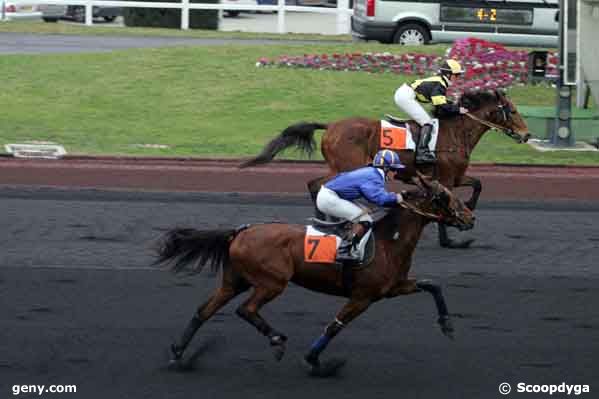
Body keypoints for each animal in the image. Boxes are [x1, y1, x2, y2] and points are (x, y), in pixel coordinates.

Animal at [157, 176, 476, 378]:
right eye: (443, 196)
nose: (470, 217)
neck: (389, 242)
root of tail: (240, 231)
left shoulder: (391, 288)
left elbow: (432, 285)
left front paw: (447, 325)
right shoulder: (363, 297)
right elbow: (334, 327)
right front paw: (316, 361)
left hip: (235, 281)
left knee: (204, 310)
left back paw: (178, 354)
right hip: (272, 282)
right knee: (245, 309)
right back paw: (276, 340)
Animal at [239, 91, 528, 247]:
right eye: (513, 111)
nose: (526, 135)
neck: (456, 133)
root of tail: (331, 126)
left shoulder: (455, 176)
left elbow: (478, 184)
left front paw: (467, 210)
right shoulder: (446, 178)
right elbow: (452, 200)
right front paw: (452, 237)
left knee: (317, 184)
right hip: (348, 166)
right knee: (317, 184)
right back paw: (330, 223)